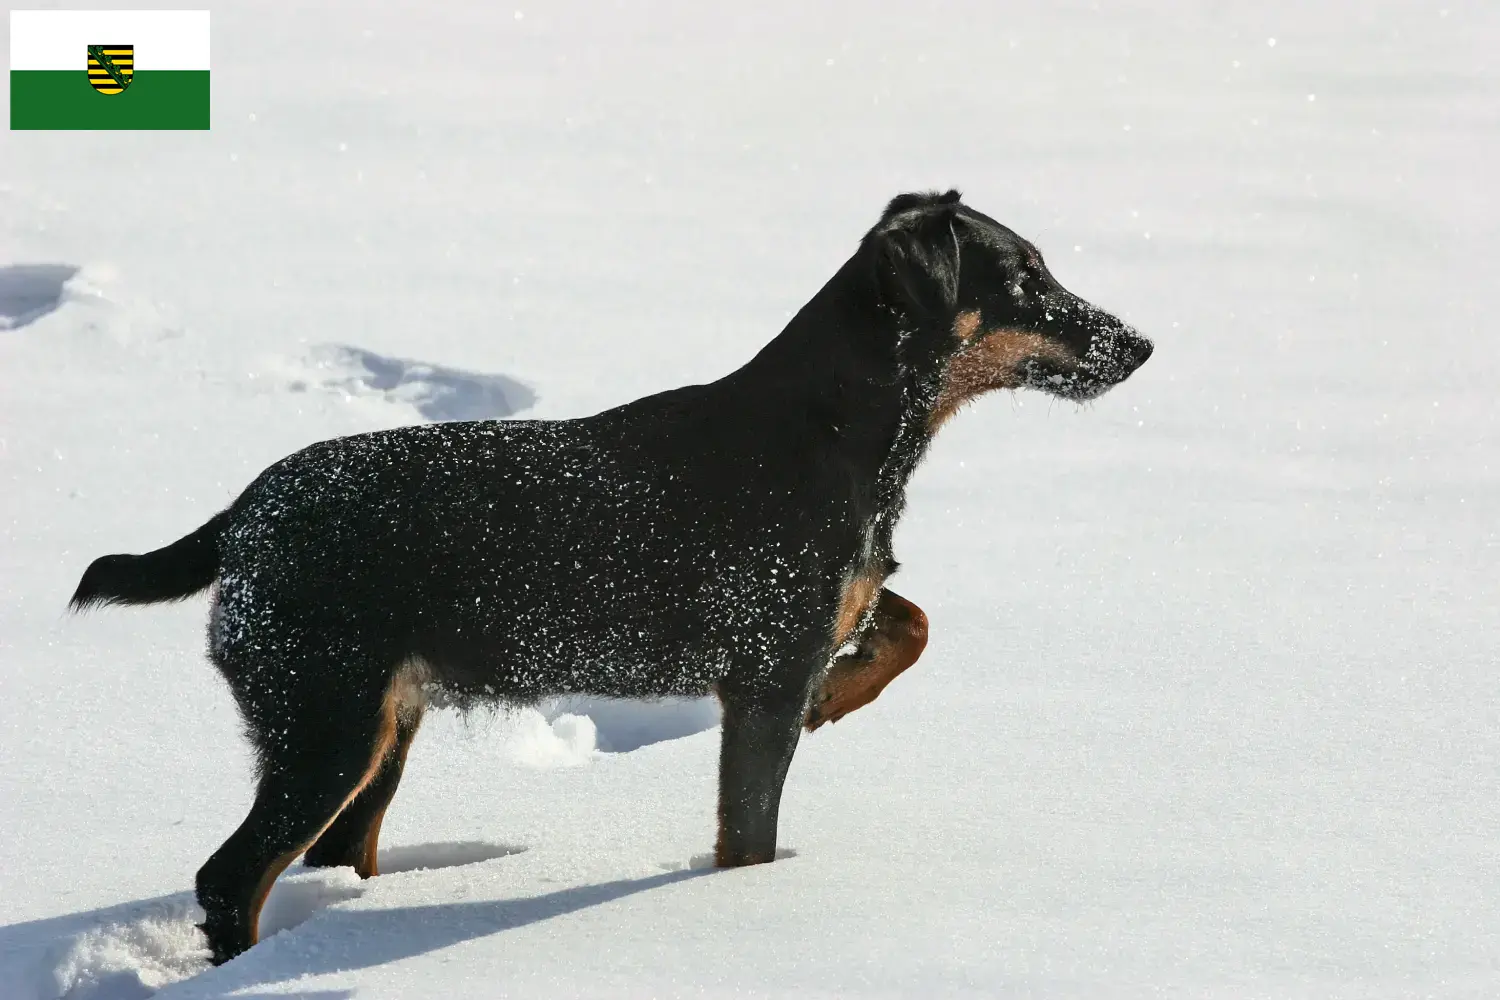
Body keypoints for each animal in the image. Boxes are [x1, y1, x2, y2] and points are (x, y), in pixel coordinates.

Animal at [67, 187, 1146, 959]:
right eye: (1025, 276)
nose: (1139, 342)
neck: (840, 430)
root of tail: (240, 519)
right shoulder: (763, 674)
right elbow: (748, 834)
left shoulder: (817, 620)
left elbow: (907, 618)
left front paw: (842, 693)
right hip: (324, 724)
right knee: (228, 878)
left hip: (380, 724)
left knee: (329, 855)